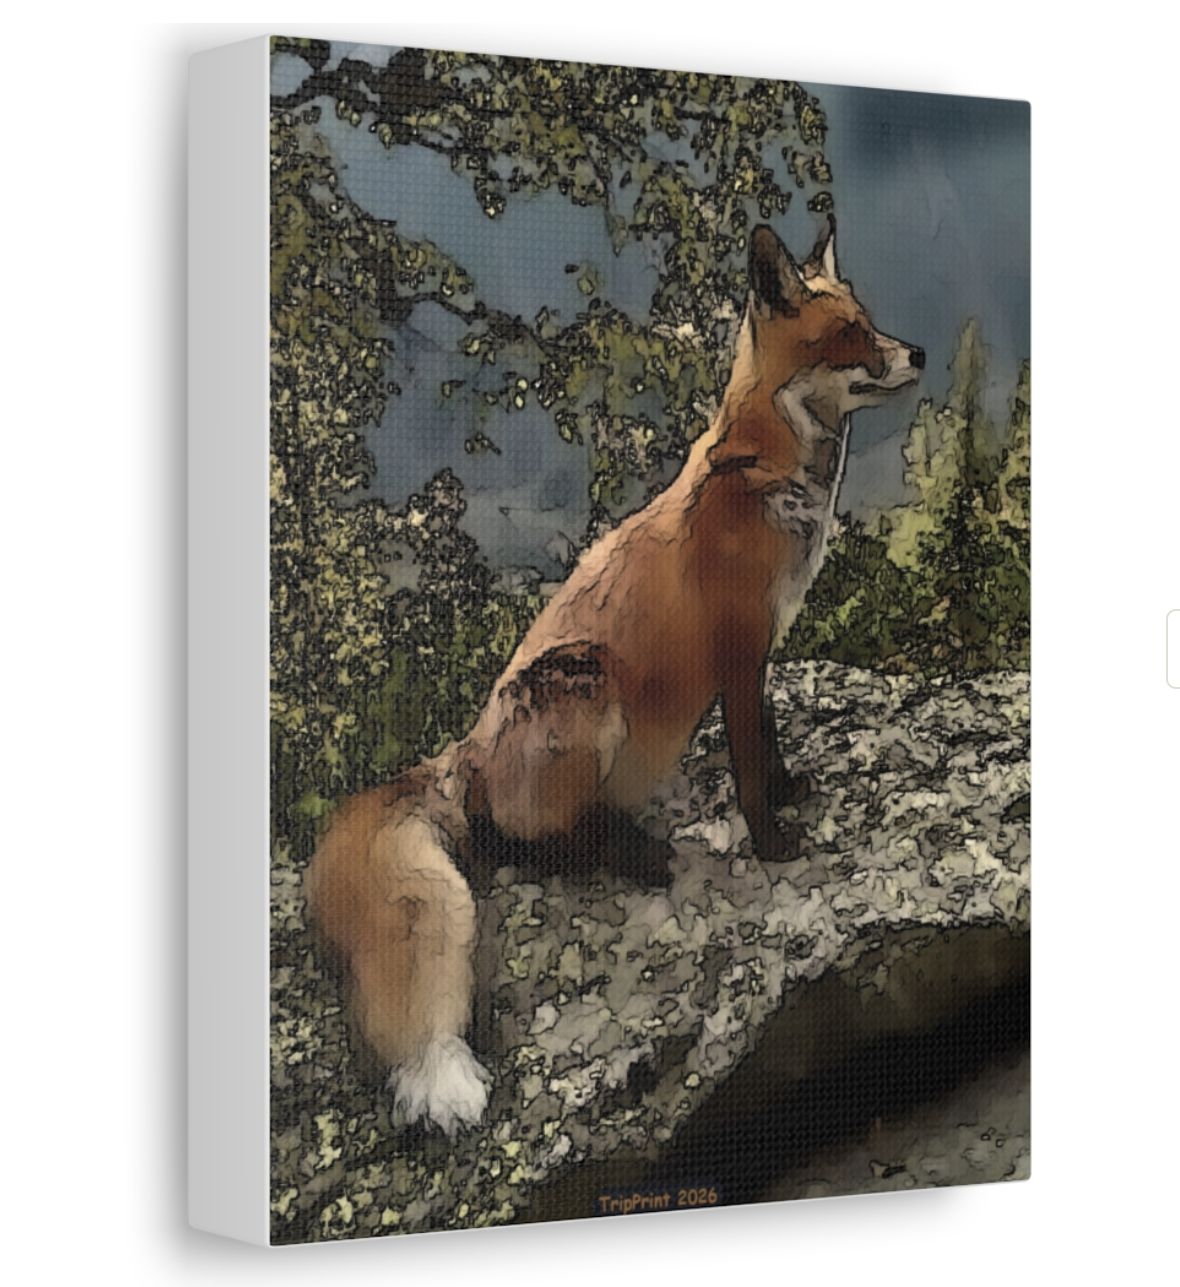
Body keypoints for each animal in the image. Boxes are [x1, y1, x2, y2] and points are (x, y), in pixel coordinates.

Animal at [305, 217, 924, 1135]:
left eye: (869, 321)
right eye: (848, 334)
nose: (916, 350)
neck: (765, 475)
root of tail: (465, 750)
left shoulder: (762, 650)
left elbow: (770, 743)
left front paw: (793, 790)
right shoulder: (736, 651)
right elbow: (748, 765)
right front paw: (772, 841)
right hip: (588, 682)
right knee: (517, 842)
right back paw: (630, 854)